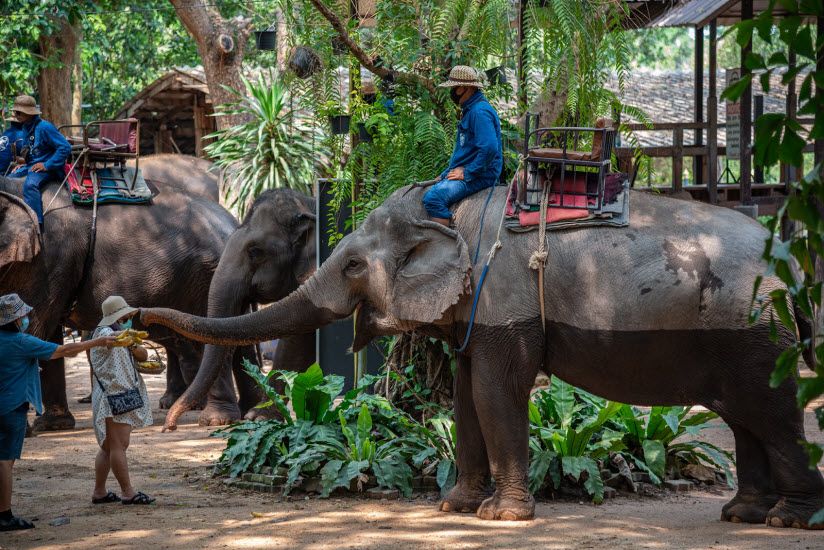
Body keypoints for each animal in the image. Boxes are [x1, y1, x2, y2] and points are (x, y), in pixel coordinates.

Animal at [0, 158, 254, 431]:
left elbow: (35, 328)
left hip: (208, 276)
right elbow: (47, 338)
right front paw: (52, 425)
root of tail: (233, 222)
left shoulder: (49, 258)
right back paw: (249, 412)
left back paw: (216, 419)